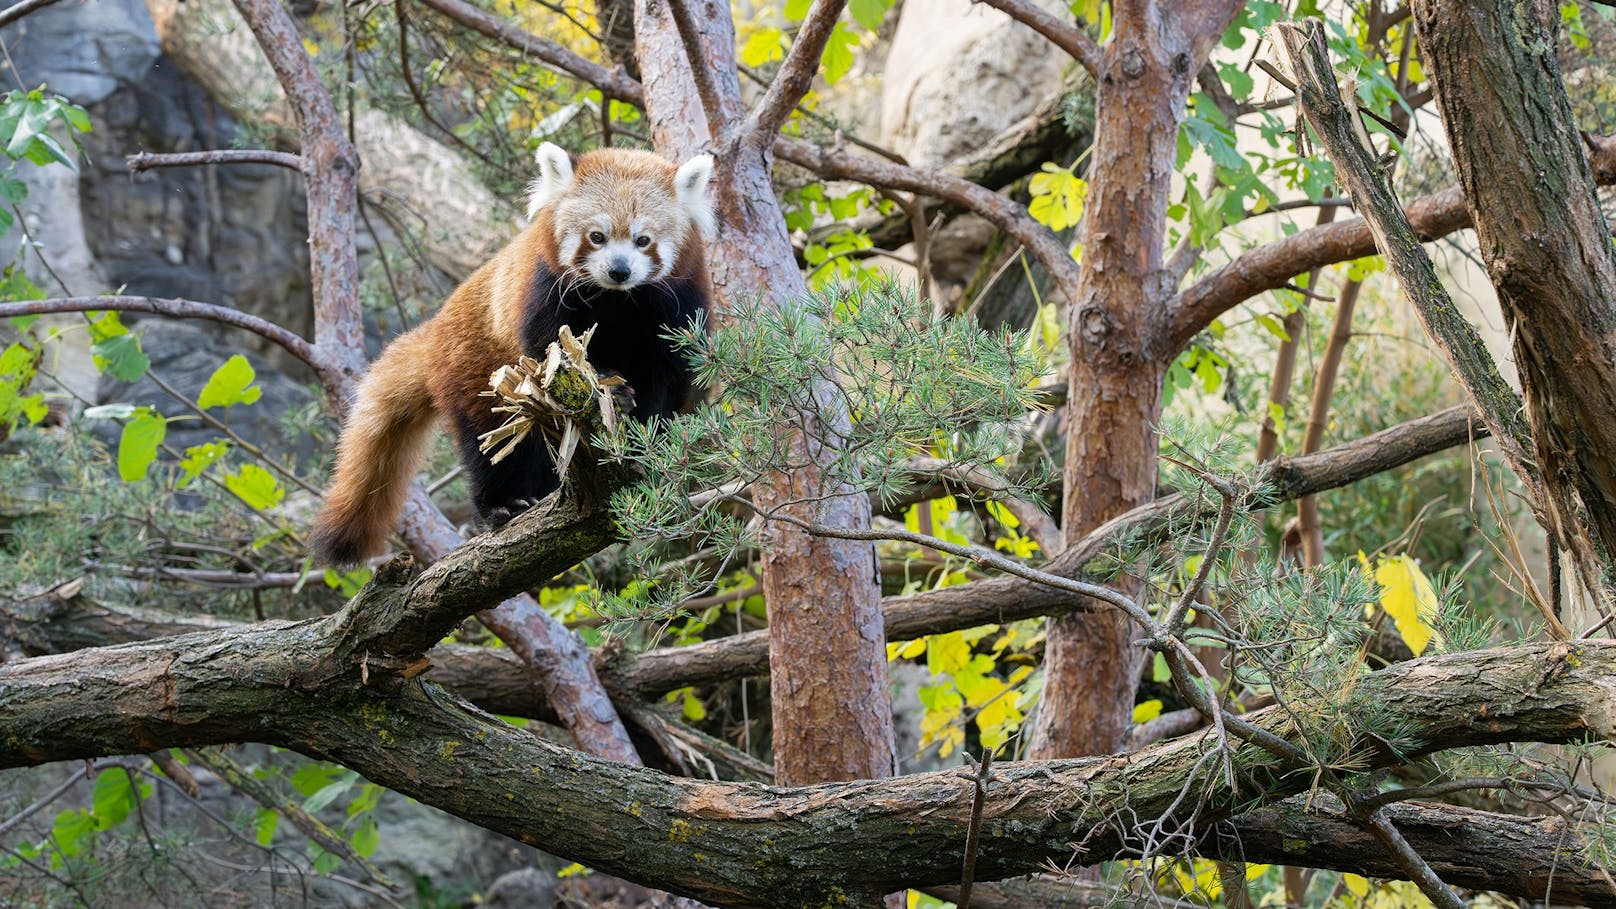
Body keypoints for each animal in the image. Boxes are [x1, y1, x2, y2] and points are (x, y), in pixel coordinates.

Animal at [311, 142, 717, 562]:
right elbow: (546, 347)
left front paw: (647, 439)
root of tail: (436, 329)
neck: (619, 300)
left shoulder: (678, 305)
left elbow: (667, 378)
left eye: (642, 240)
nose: (618, 271)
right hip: (475, 368)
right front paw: (612, 388)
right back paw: (505, 504)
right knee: (495, 441)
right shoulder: (544, 289)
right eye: (597, 236)